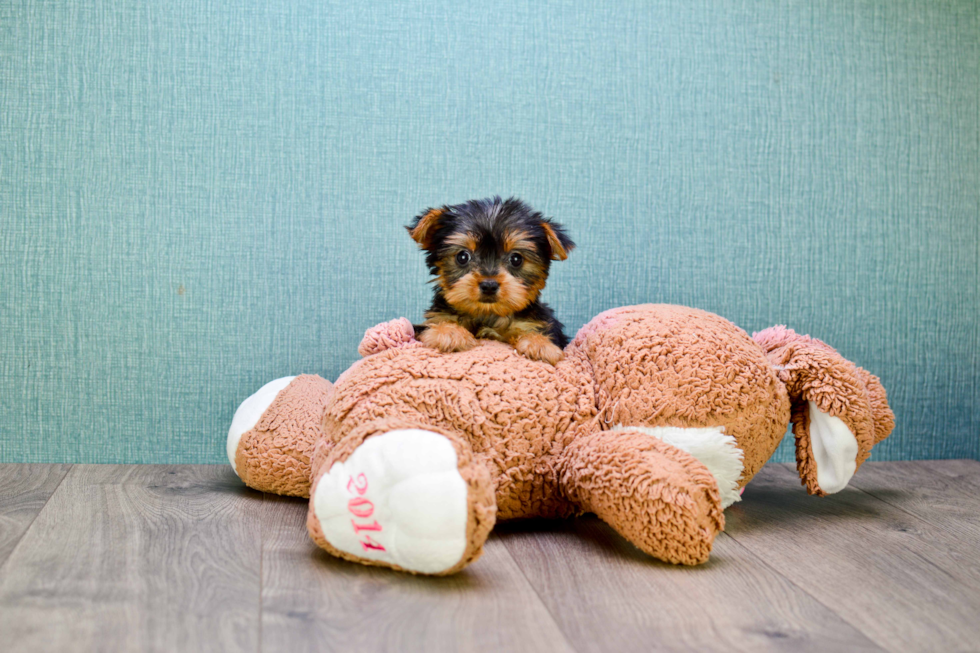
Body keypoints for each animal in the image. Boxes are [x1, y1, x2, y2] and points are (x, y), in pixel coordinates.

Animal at [406, 196, 576, 364]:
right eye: (462, 257)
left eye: (516, 259)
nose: (489, 285)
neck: (487, 314)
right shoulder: (436, 318)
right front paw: (449, 332)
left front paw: (540, 343)